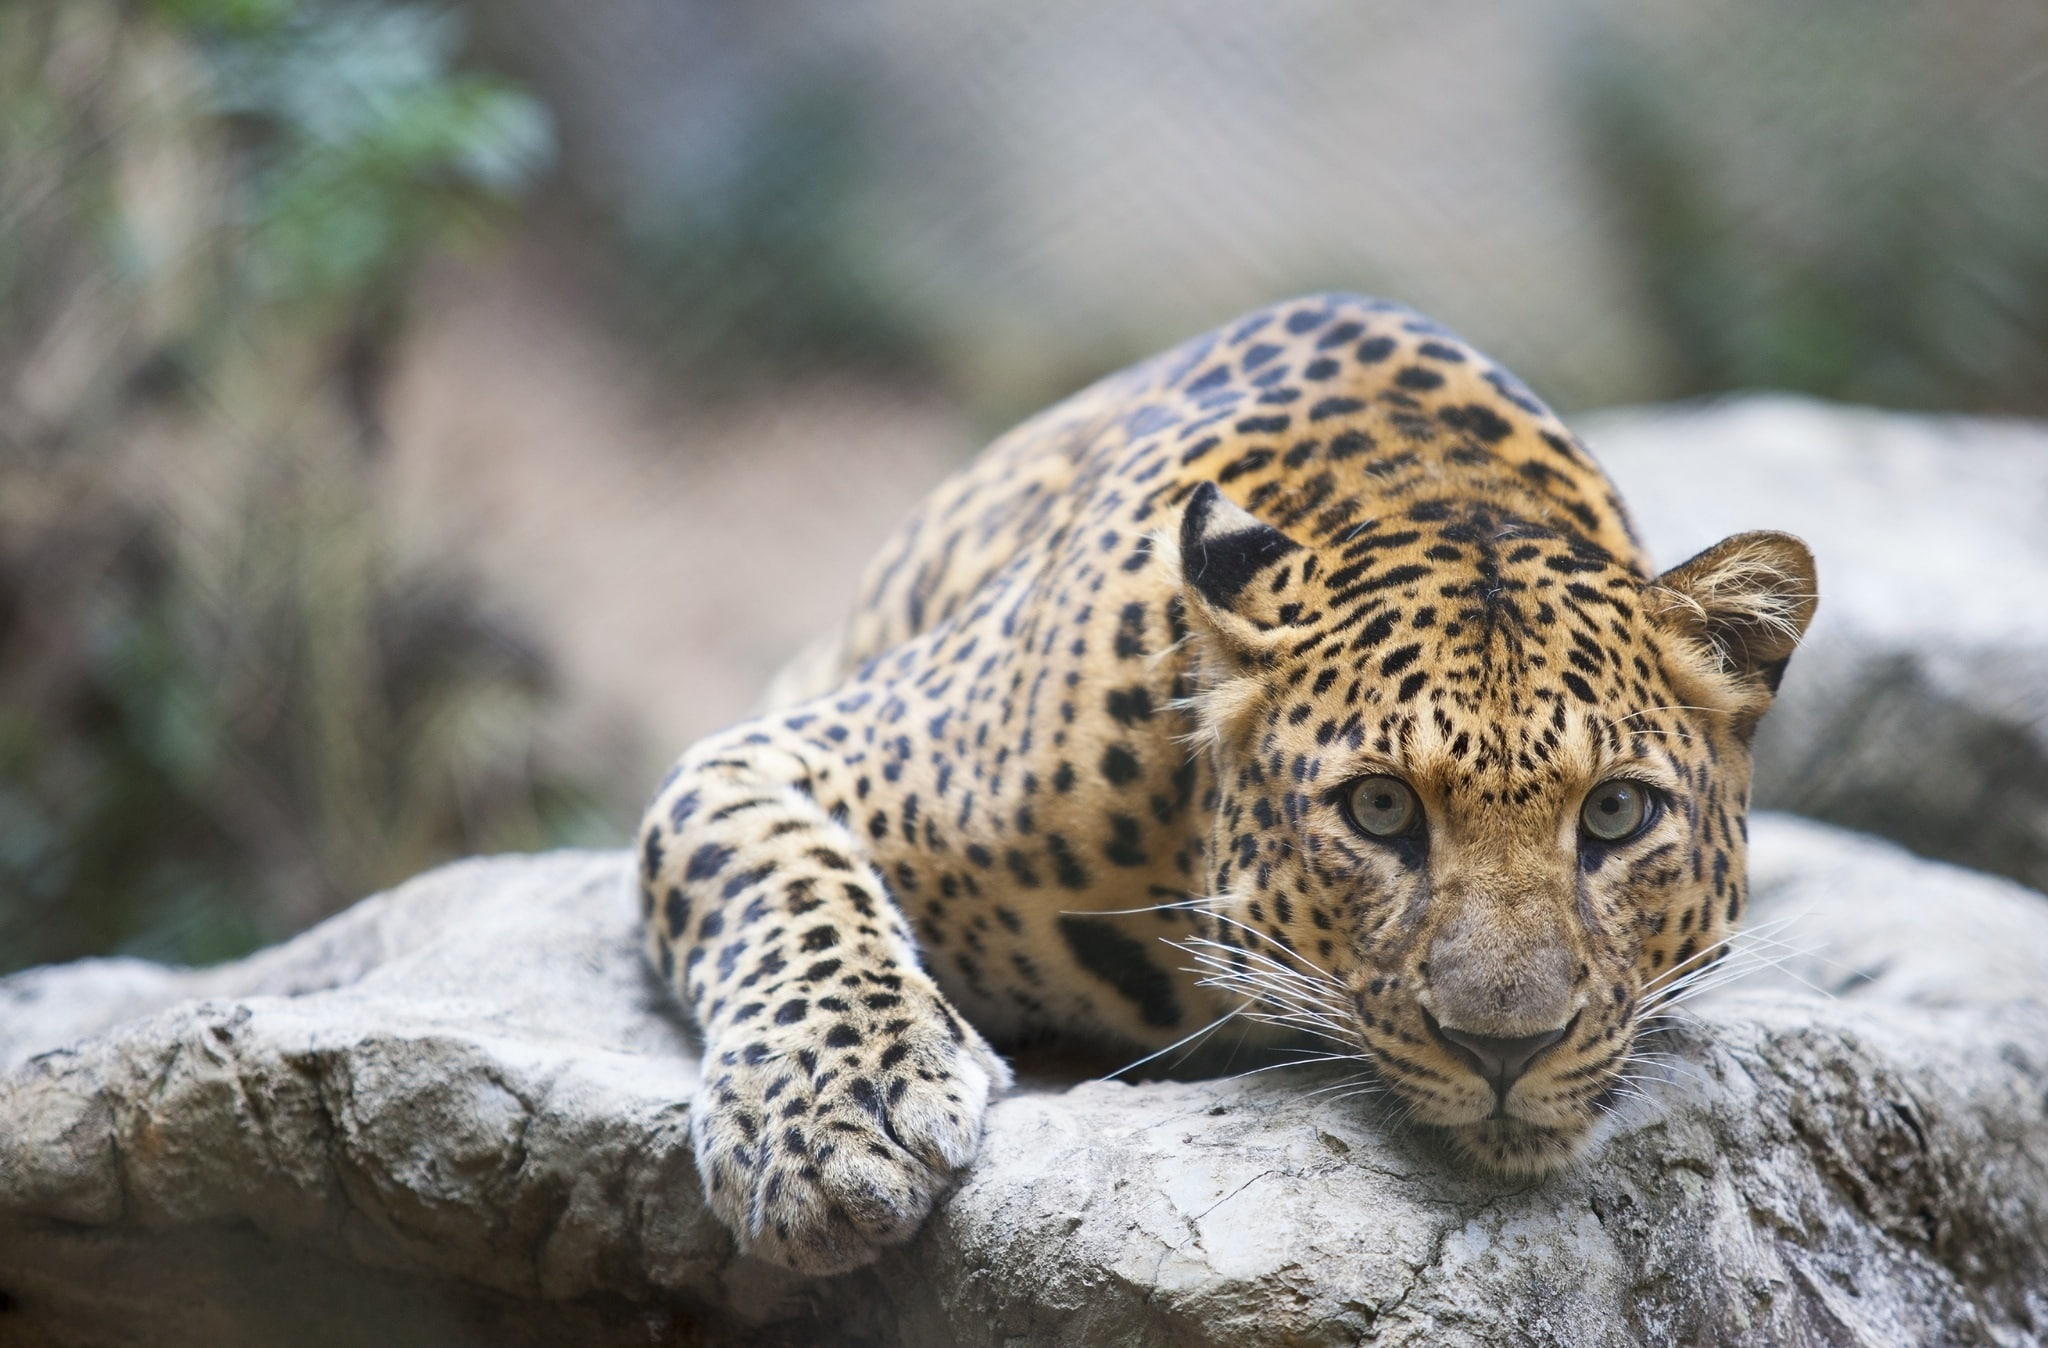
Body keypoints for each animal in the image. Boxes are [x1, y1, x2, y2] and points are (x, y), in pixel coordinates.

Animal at [636, 294, 1817, 1275]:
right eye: (1379, 808)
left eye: (1614, 812)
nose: (1504, 1047)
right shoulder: (774, 754)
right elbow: (786, 887)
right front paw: (827, 1130)